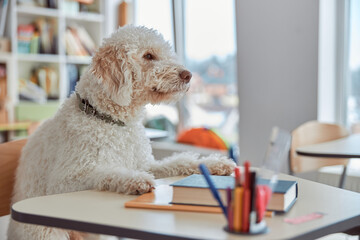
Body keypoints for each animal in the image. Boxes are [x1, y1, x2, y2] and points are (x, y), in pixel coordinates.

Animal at [7, 25, 236, 239]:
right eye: (148, 56)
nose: (188, 75)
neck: (114, 122)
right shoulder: (64, 181)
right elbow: (105, 173)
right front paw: (135, 180)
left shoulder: (147, 164)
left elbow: (180, 161)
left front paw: (214, 164)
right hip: (44, 231)